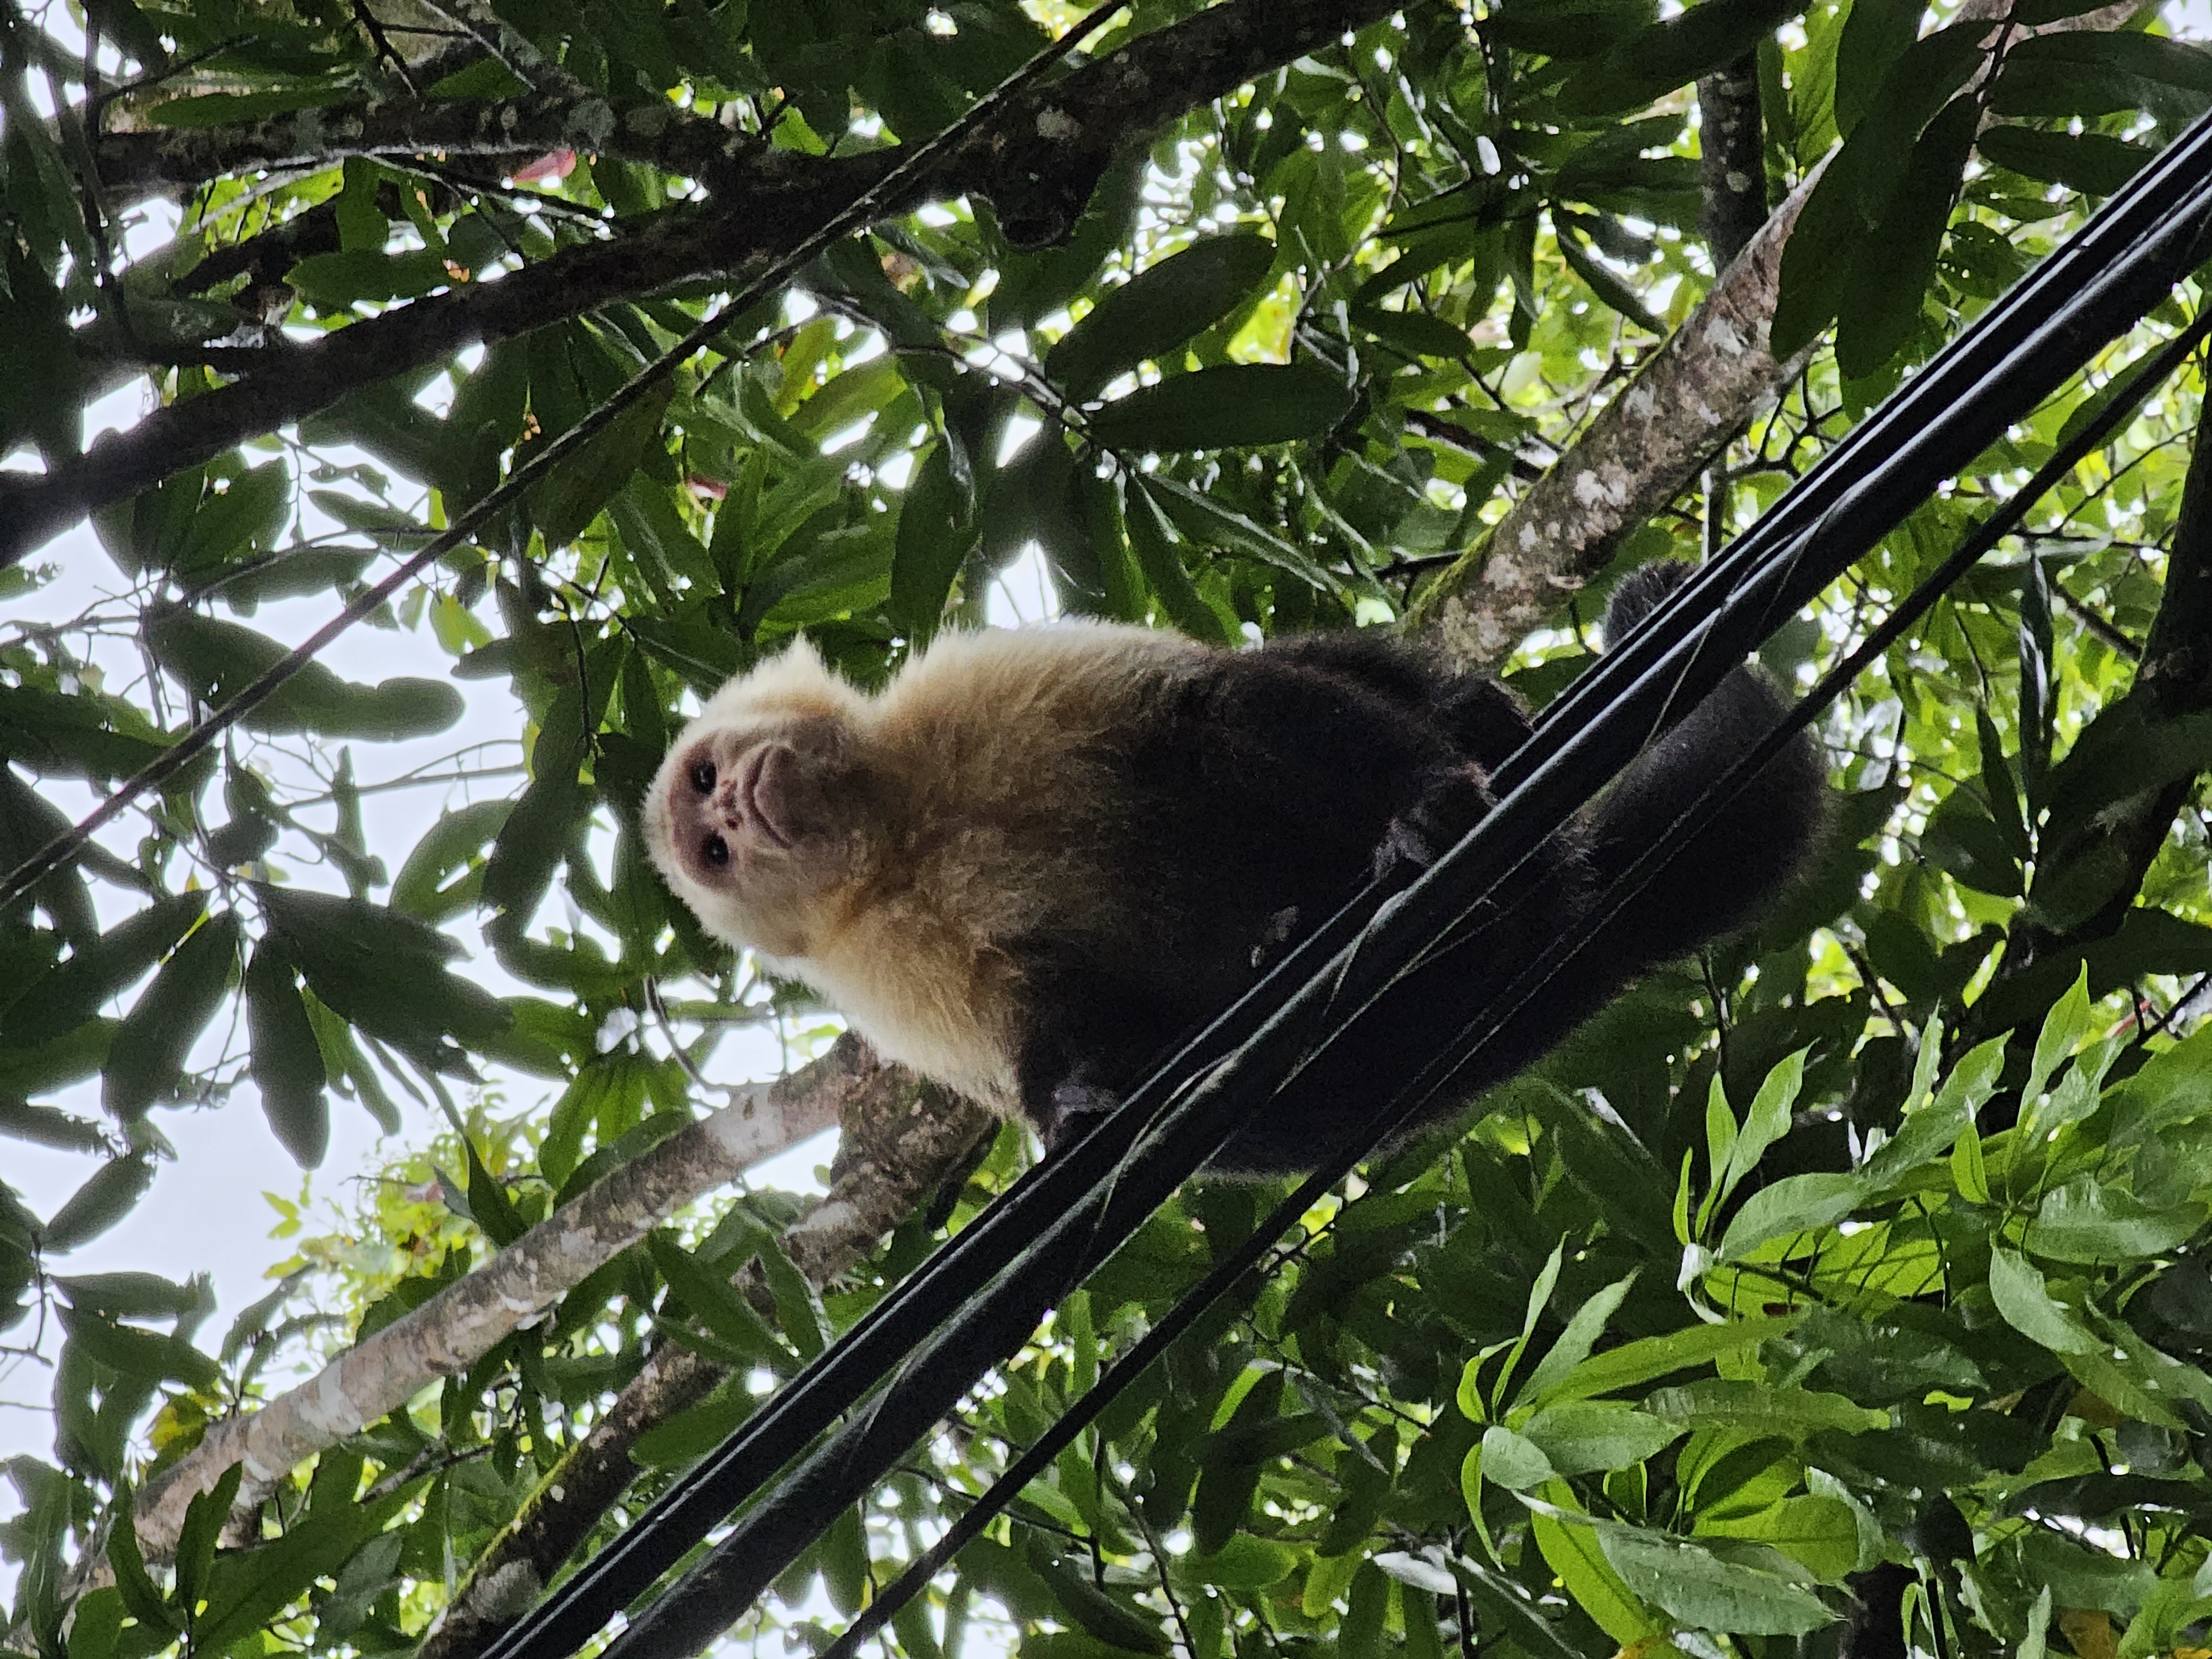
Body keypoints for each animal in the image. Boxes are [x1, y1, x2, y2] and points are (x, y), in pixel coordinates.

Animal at [641, 562, 1826, 1174]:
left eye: (705, 780)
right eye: (711, 845)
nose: (736, 808)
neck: (899, 838)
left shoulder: (963, 690)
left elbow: (1199, 709)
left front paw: (1426, 798)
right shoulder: (885, 972)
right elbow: (1052, 1027)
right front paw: (1075, 1103)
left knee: (1252, 718)